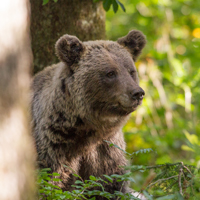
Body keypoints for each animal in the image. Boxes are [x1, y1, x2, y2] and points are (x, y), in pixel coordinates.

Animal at [31, 29, 146, 198]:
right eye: (110, 73)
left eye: (131, 71)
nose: (137, 93)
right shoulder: (53, 147)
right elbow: (52, 184)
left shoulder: (106, 151)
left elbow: (110, 185)